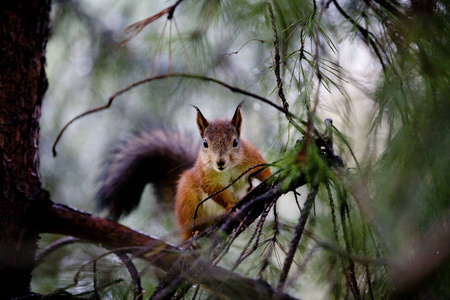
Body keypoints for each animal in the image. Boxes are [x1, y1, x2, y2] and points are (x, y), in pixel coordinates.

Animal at [97, 103, 272, 241]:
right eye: (205, 143)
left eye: (235, 142)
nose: (220, 162)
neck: (228, 169)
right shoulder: (206, 175)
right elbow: (214, 190)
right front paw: (230, 206)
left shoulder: (251, 158)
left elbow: (262, 169)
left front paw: (272, 178)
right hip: (188, 204)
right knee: (189, 230)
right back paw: (194, 236)